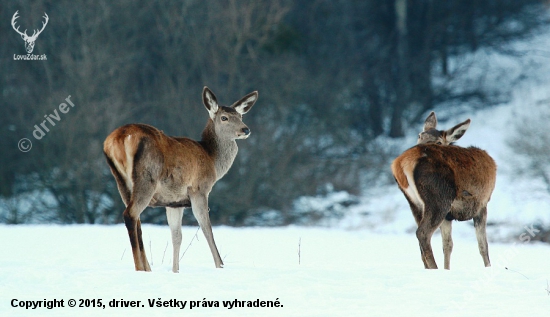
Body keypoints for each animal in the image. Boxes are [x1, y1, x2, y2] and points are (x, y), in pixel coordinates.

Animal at [104, 86, 260, 272]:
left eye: (240, 116)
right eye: (224, 117)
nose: (246, 130)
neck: (212, 160)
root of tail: (119, 138)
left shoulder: (174, 202)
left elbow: (176, 236)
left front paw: (175, 270)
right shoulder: (199, 189)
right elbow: (206, 227)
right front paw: (220, 265)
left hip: (121, 181)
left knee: (136, 219)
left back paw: (146, 268)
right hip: (147, 177)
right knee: (130, 214)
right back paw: (140, 268)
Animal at [394, 112, 498, 268]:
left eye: (438, 141)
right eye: (419, 136)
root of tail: (403, 162)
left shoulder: (448, 216)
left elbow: (447, 245)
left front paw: (447, 269)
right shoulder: (482, 204)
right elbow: (483, 246)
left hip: (415, 203)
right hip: (439, 196)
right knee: (422, 233)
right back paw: (434, 268)